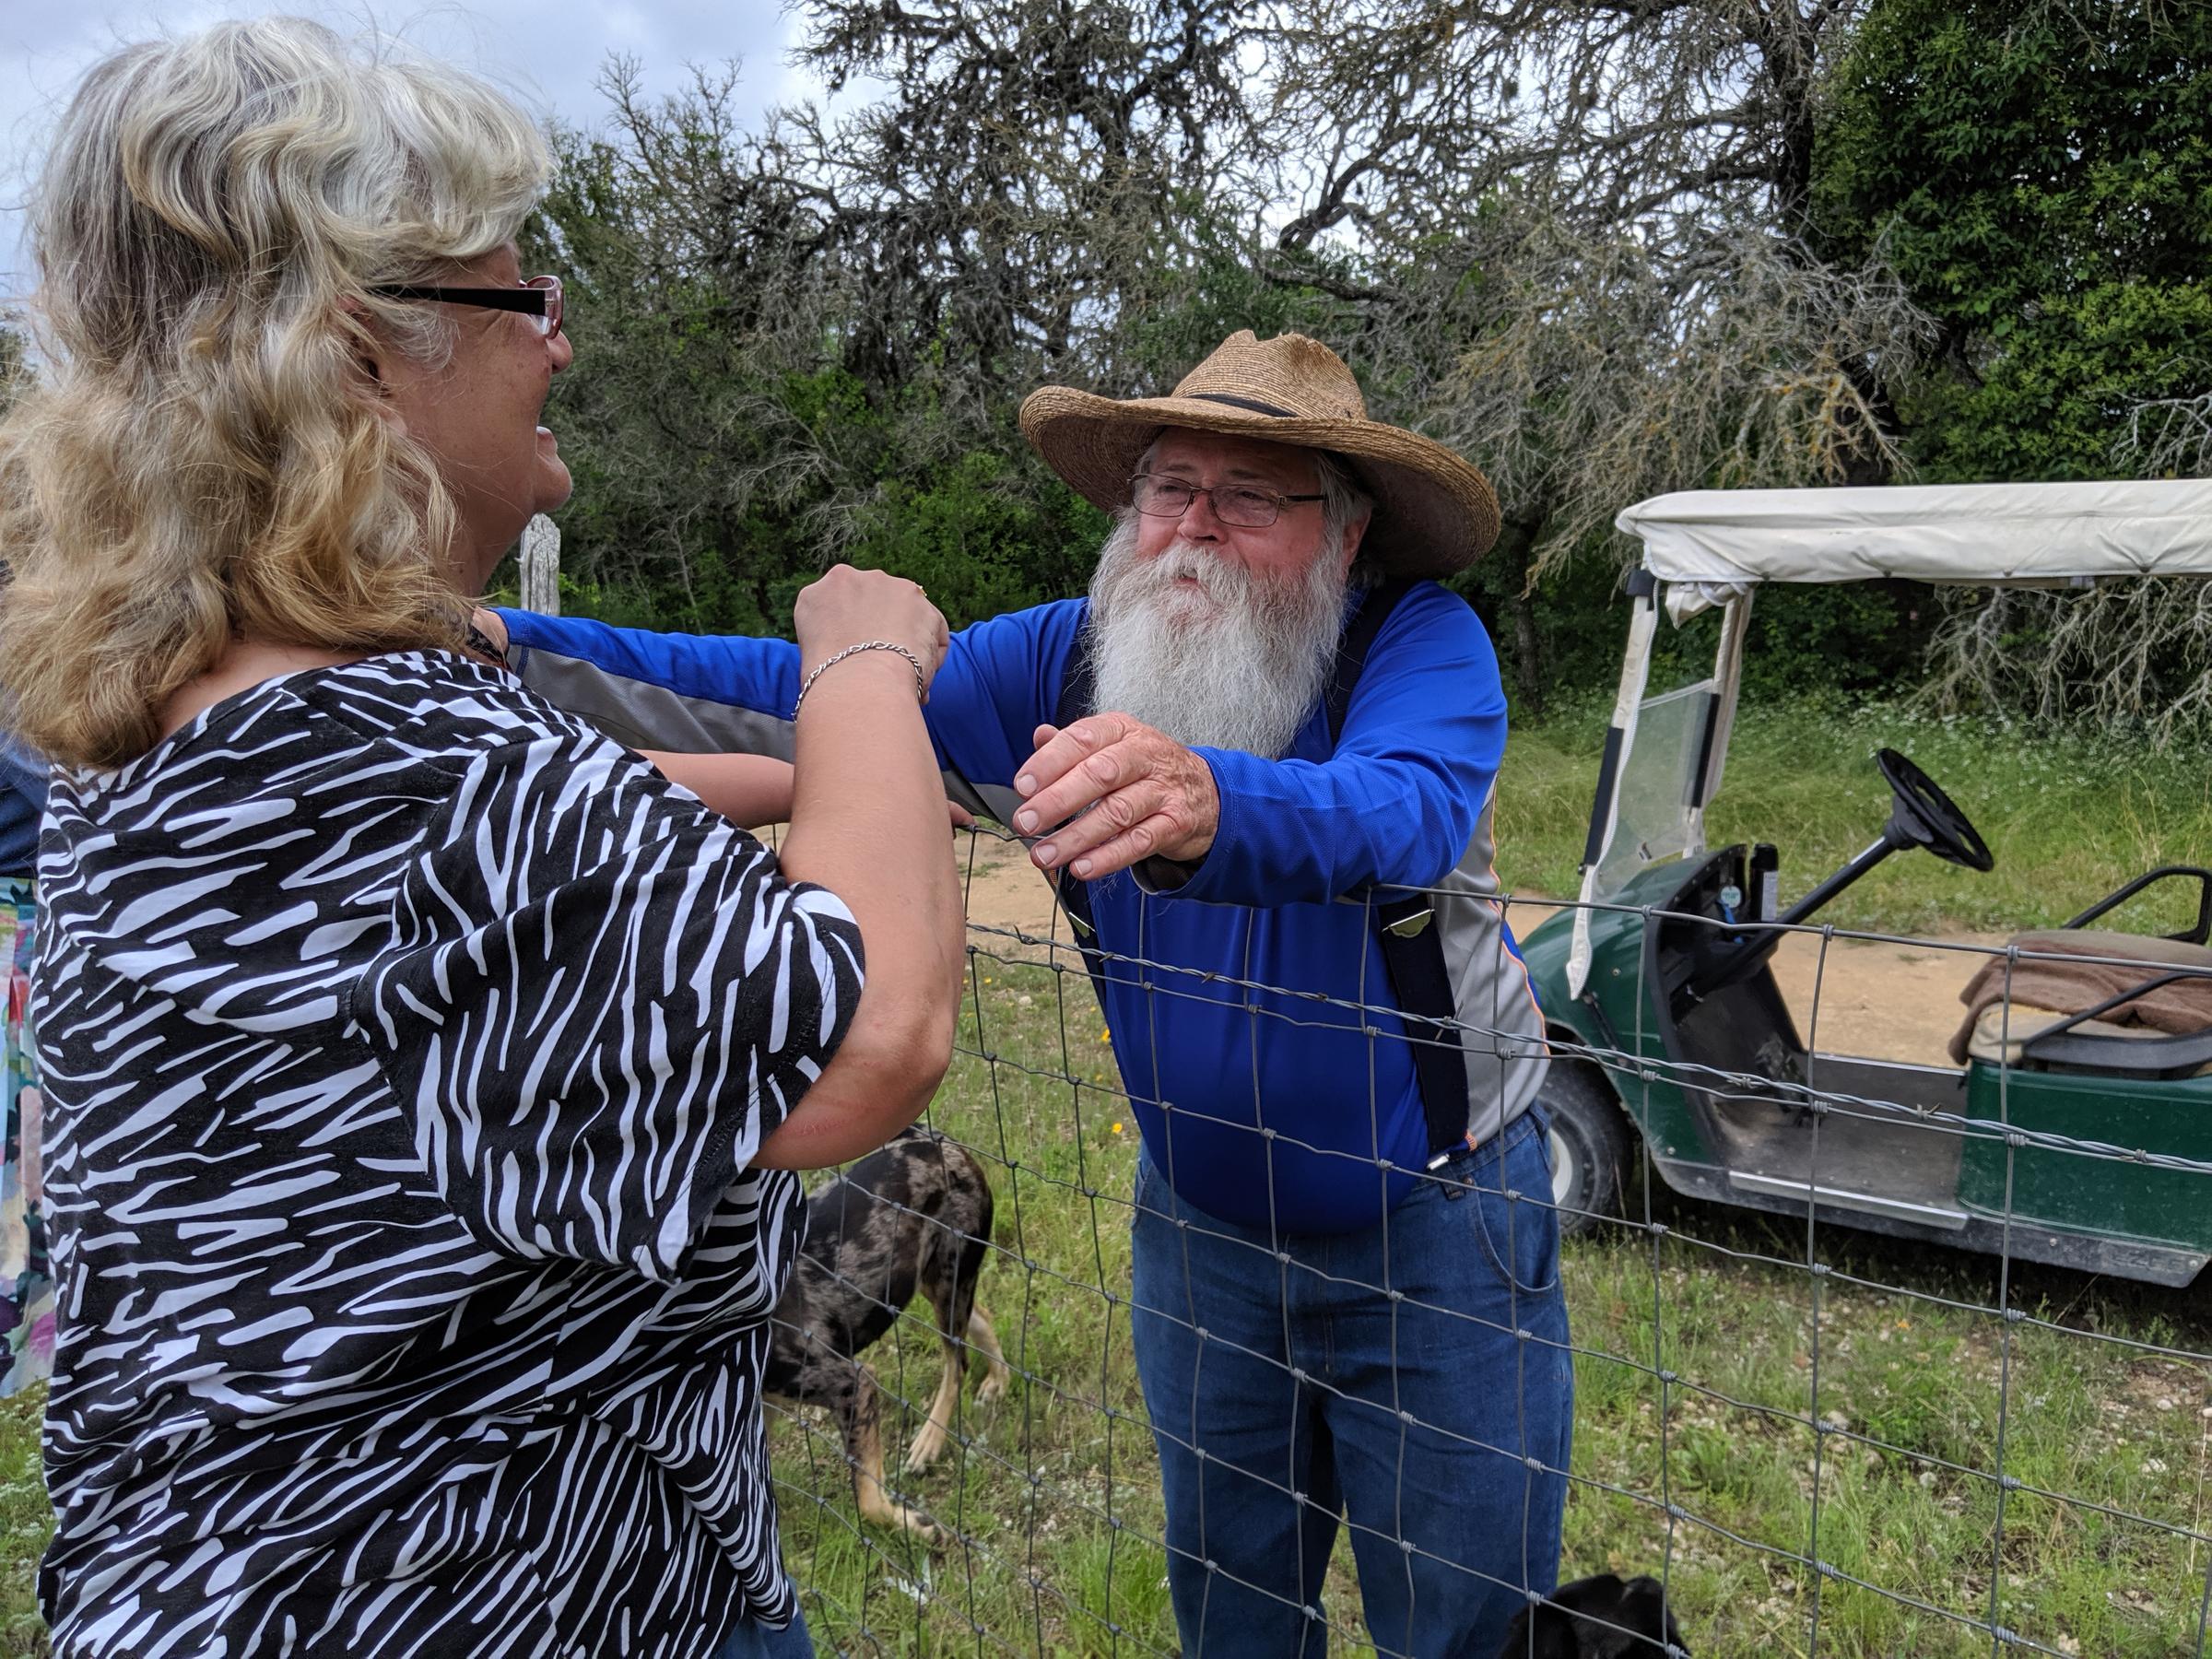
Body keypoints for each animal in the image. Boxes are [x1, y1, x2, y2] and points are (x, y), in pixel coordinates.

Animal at [760, 1132, 1004, 1548]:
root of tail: (939, 1142)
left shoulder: (853, 1385)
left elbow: (869, 1501)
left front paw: (918, 1527)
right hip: (935, 1283)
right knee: (982, 1320)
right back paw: (998, 1381)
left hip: (947, 1281)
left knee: (956, 1364)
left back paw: (929, 1442)